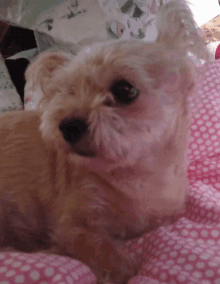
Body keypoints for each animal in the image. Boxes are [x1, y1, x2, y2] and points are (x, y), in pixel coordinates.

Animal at [0, 1, 208, 282]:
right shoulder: (71, 226)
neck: (135, 177)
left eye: (125, 90)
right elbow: (114, 258)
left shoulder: (166, 216)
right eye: (67, 92)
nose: (67, 125)